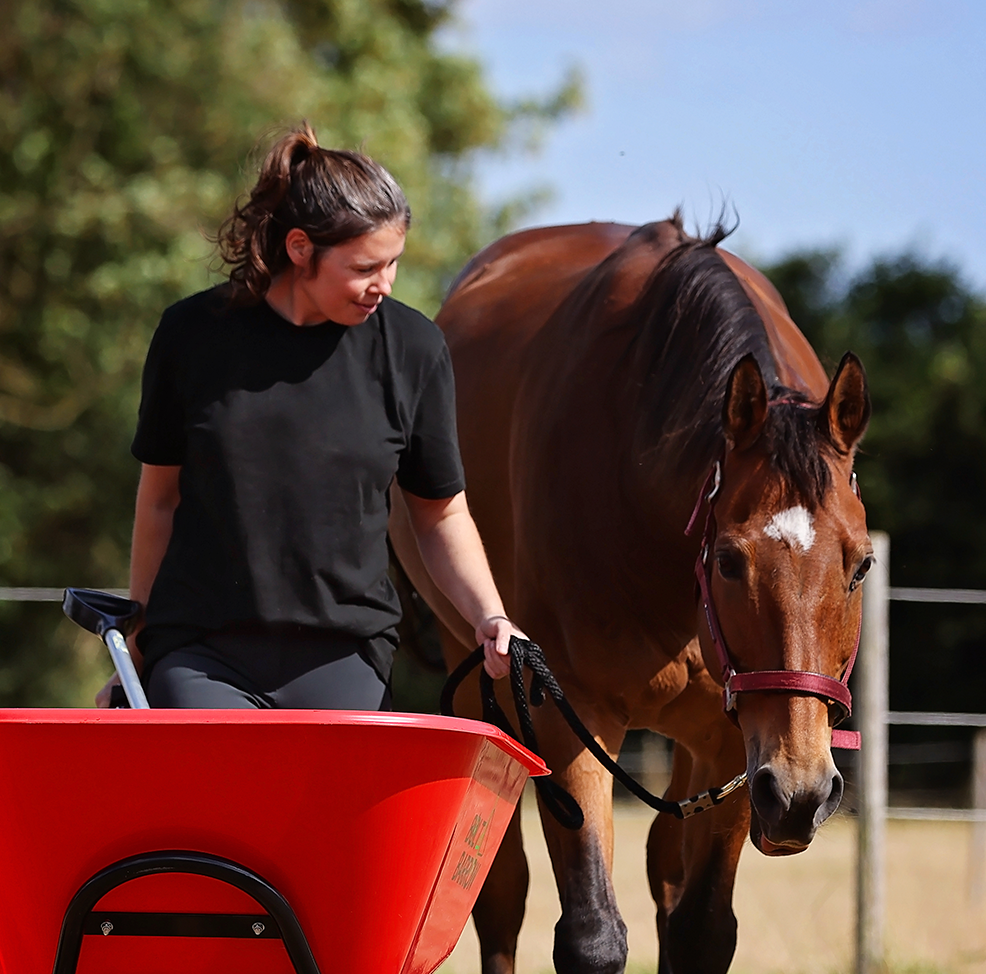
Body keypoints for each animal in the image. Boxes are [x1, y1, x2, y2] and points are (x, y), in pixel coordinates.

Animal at [389, 214, 872, 974]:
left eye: (861, 566)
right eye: (729, 562)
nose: (801, 792)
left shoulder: (739, 744)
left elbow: (701, 928)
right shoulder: (568, 712)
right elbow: (590, 935)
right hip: (478, 682)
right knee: (501, 896)